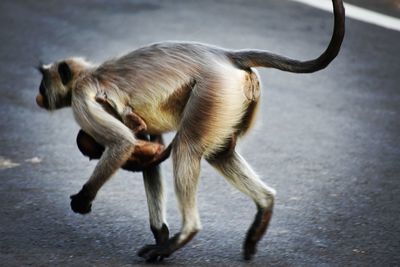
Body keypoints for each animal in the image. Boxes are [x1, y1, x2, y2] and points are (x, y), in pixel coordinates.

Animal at [36, 0, 346, 262]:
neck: (89, 72)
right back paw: (263, 207)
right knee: (219, 153)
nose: (38, 98)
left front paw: (83, 198)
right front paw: (160, 233)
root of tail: (227, 55)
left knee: (187, 146)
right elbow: (149, 154)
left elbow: (123, 143)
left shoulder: (82, 96)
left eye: (43, 85)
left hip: (213, 92)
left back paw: (185, 234)